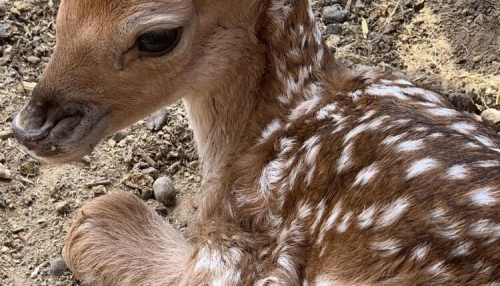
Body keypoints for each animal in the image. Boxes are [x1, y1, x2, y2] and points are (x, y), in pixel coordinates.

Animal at [10, 0, 500, 284]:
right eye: (60, 6)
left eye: (157, 37)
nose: (28, 129)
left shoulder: (239, 257)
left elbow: (93, 225)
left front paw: (96, 220)